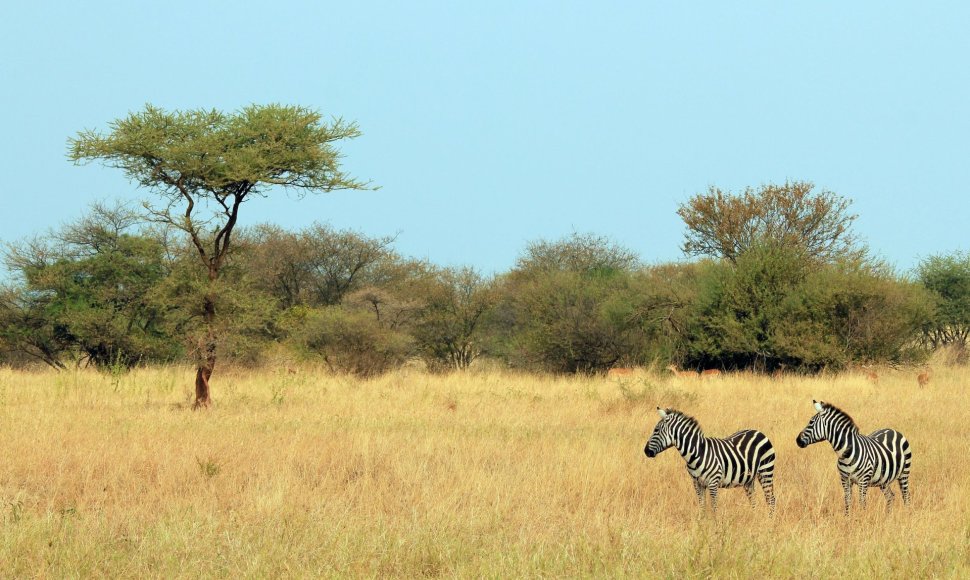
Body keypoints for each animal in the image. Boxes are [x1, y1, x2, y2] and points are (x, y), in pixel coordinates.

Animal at [644, 406, 780, 516]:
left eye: (656, 430)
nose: (645, 451)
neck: (696, 452)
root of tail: (759, 432)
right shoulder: (697, 483)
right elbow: (702, 506)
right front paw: (701, 524)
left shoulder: (713, 482)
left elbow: (714, 507)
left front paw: (716, 527)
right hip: (748, 479)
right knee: (753, 500)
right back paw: (754, 518)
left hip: (766, 471)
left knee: (771, 499)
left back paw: (770, 522)